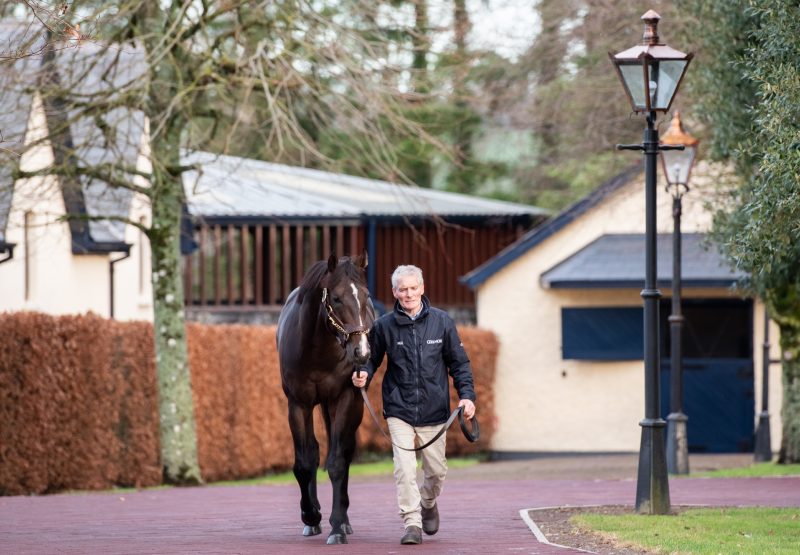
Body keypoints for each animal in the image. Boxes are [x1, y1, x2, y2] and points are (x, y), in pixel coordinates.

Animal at [276, 253, 376, 548]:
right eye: (336, 298)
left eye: (366, 295)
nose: (361, 351)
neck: (317, 351)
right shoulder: (298, 404)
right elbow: (304, 462)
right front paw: (311, 515)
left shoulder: (345, 399)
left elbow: (337, 462)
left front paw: (337, 526)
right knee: (316, 449)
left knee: (343, 452)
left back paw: (343, 519)